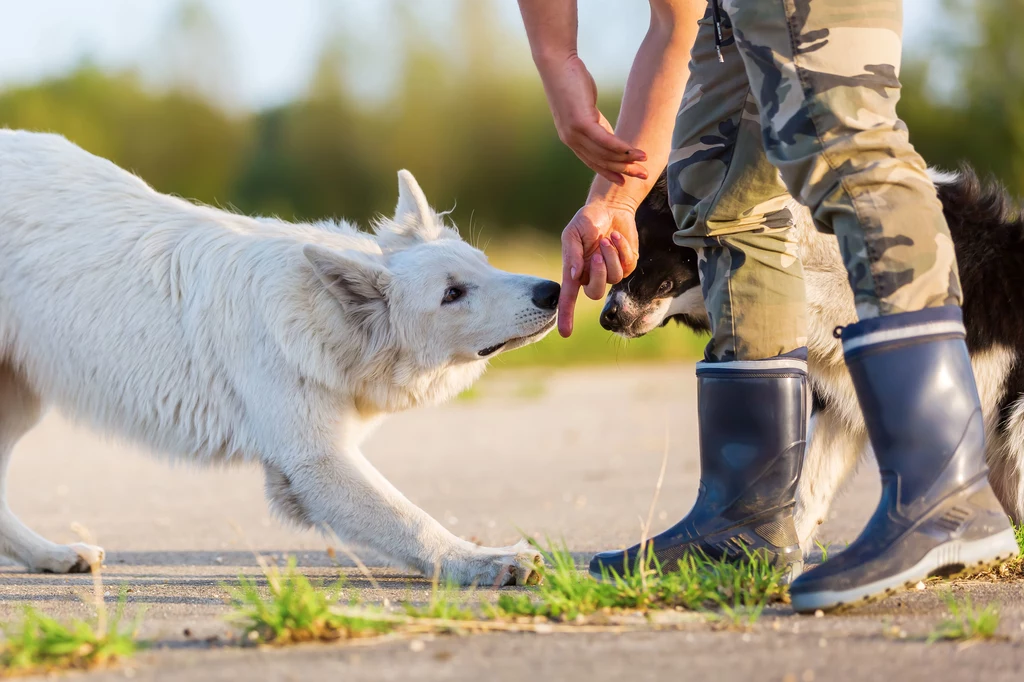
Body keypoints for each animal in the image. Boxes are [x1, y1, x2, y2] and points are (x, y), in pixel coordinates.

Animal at [2, 130, 561, 581]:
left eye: (484, 264)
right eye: (451, 294)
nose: (553, 291)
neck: (324, 313)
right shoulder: (315, 462)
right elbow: (412, 521)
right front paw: (483, 560)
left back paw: (49, 556)